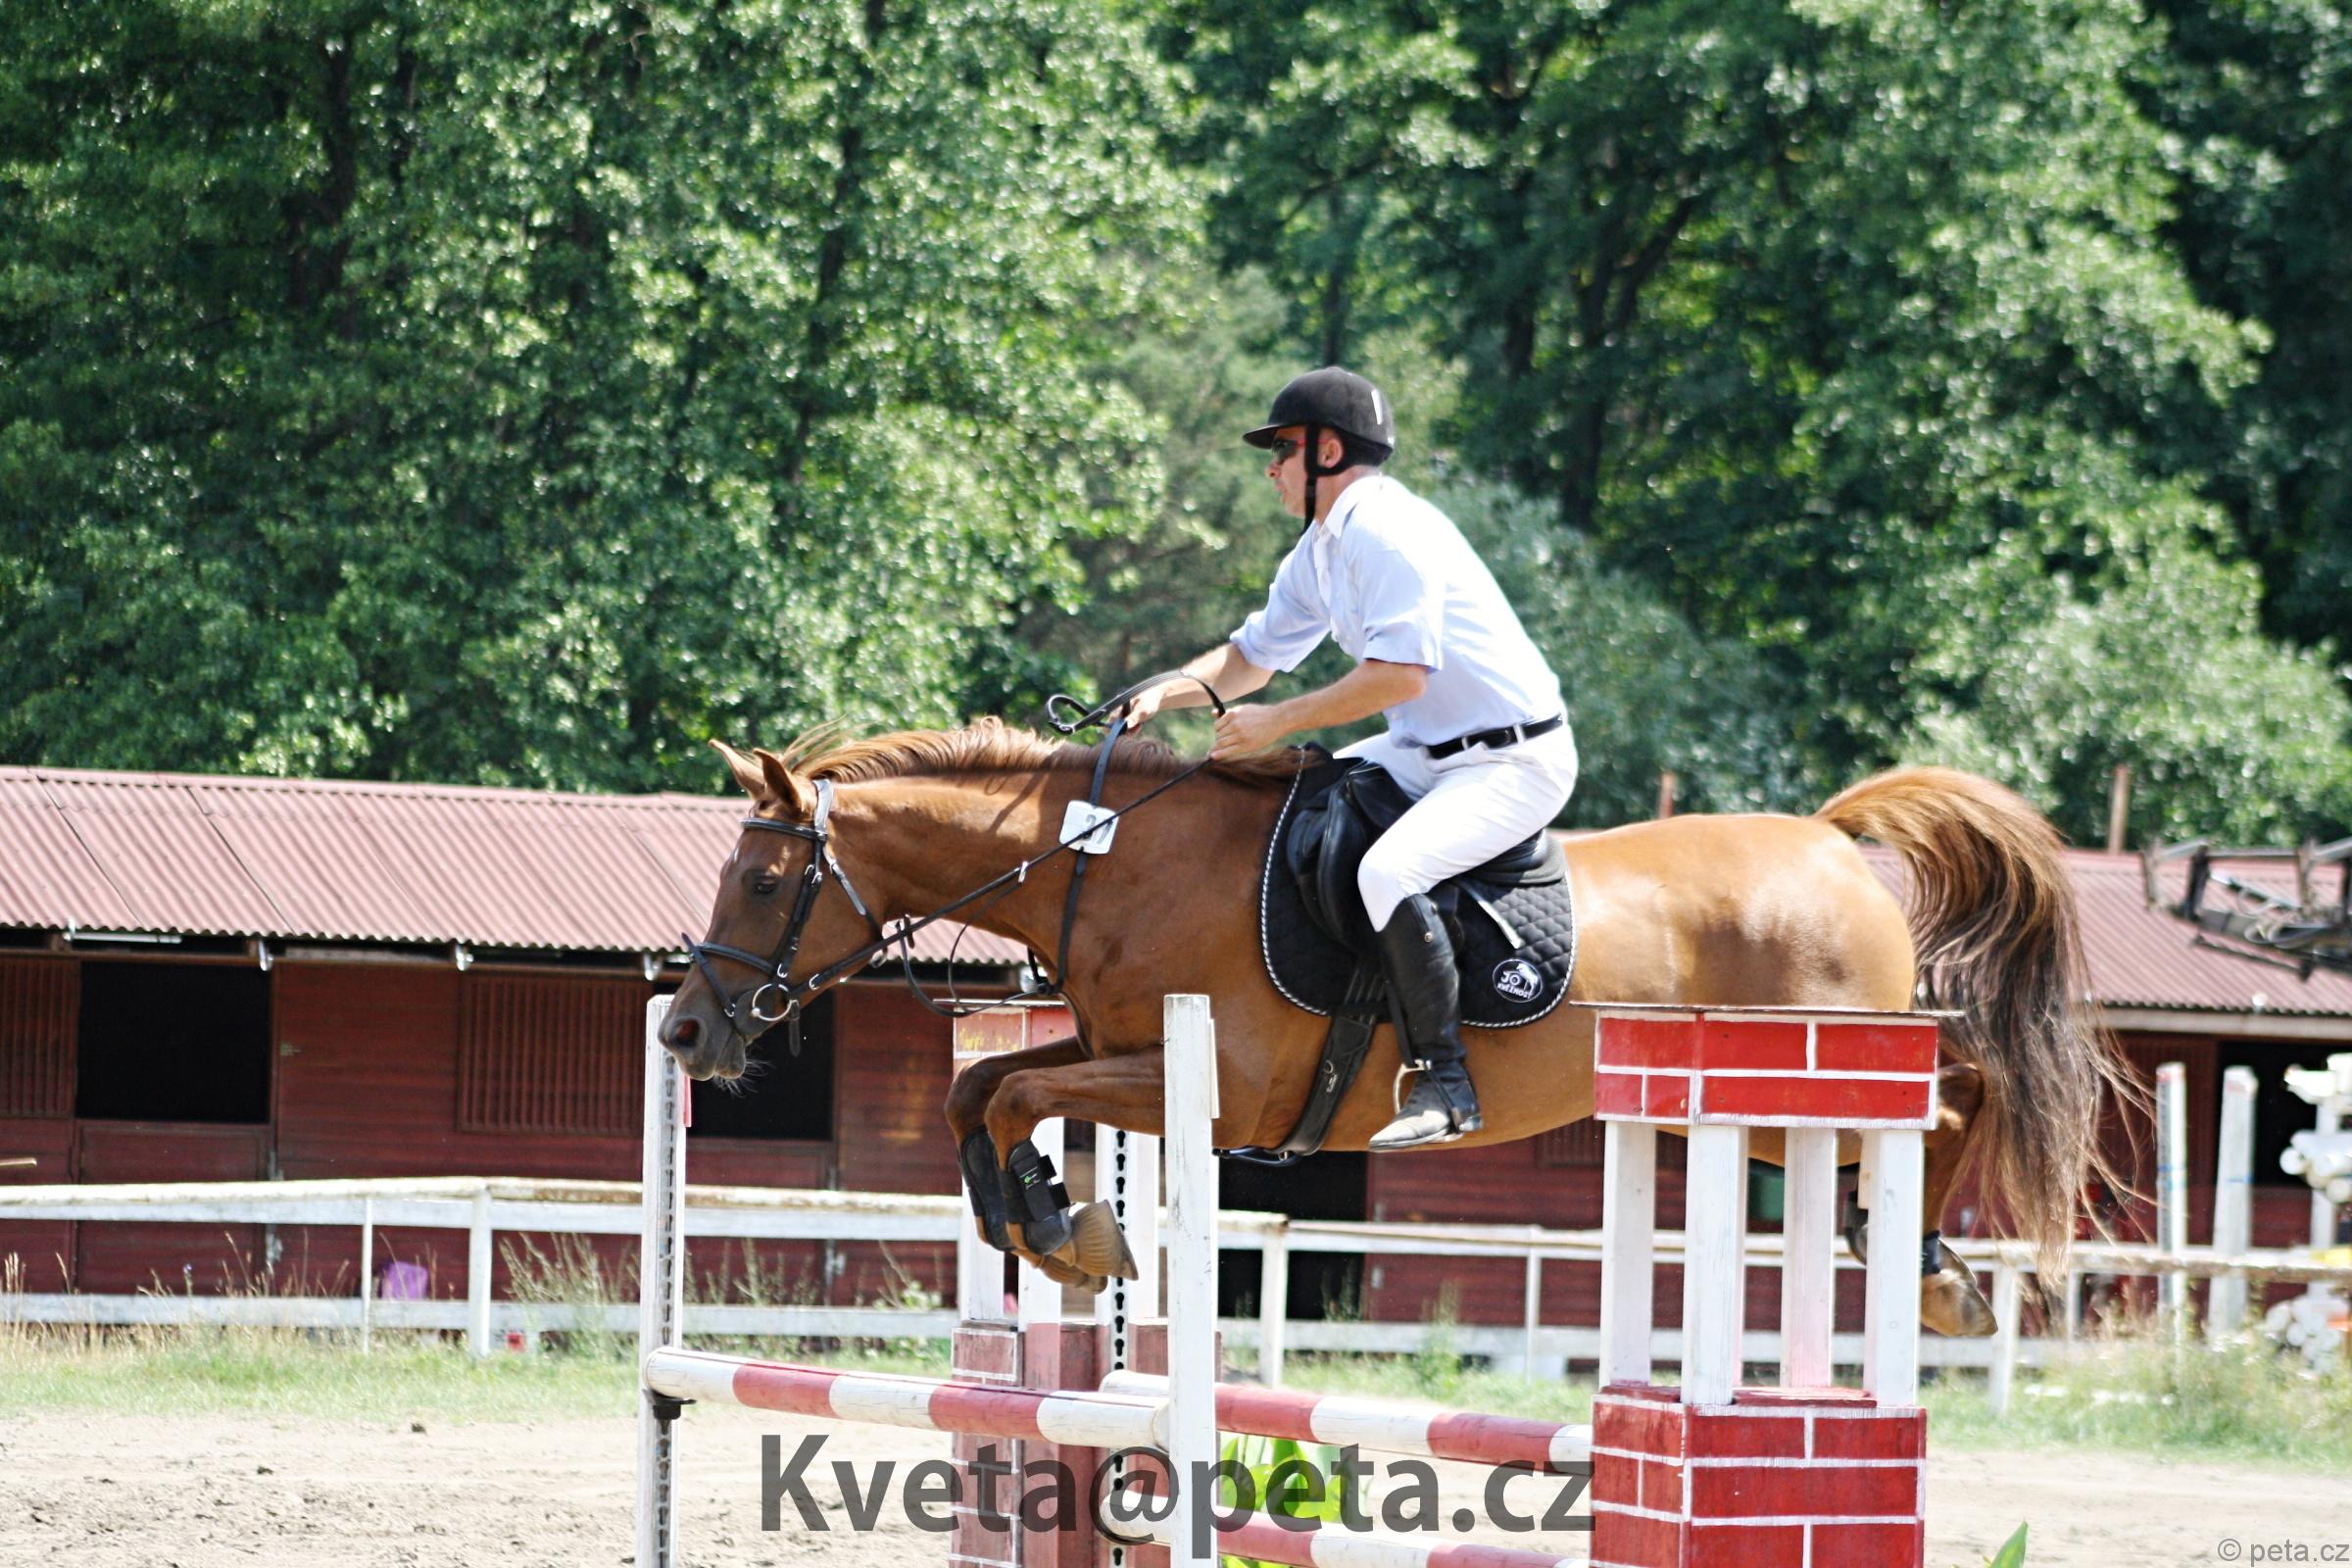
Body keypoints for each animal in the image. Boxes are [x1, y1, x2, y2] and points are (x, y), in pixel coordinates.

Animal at [660, 719, 2139, 1338]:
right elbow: (989, 1093)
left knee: (1955, 1104)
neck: (1111, 864)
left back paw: (1931, 1269)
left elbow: (1017, 1098)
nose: (683, 1031)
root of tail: (1831, 841)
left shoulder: (1213, 1089)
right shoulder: (1117, 1050)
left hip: (1804, 1077)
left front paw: (1061, 1224)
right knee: (1947, 1109)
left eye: (767, 881)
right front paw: (1054, 1224)